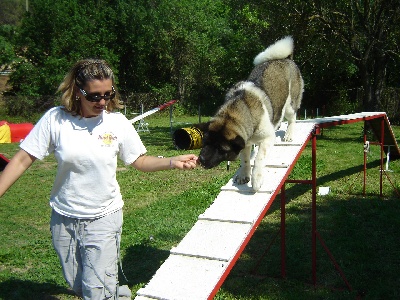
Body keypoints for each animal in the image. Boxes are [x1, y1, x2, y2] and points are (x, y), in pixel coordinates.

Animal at [196, 36, 304, 191]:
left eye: (221, 149)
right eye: (205, 142)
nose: (202, 160)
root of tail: (286, 59)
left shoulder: (267, 138)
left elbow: (259, 158)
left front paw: (256, 179)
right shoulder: (244, 142)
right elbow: (245, 159)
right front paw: (244, 175)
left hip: (289, 105)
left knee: (292, 118)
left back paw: (289, 134)